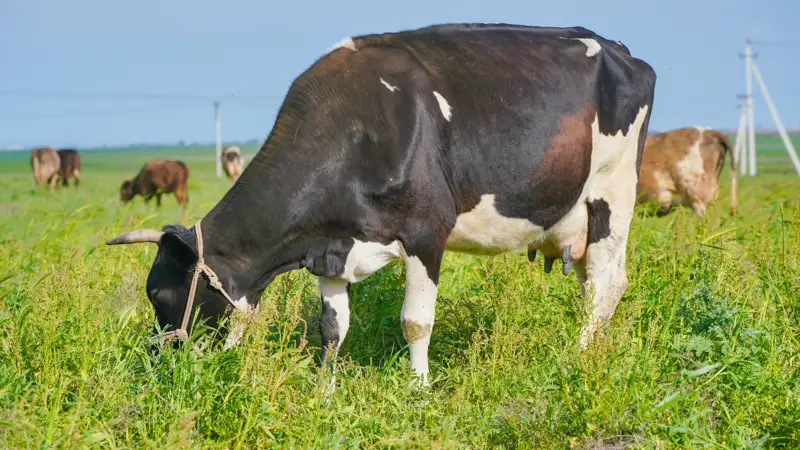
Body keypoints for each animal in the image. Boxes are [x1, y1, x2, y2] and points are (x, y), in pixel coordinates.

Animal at [106, 23, 656, 388]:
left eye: (160, 293)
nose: (157, 363)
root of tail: (621, 50)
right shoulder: (329, 244)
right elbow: (332, 327)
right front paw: (325, 389)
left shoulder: (426, 232)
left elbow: (416, 320)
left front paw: (417, 389)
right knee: (595, 286)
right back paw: (596, 347)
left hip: (613, 196)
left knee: (604, 286)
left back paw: (579, 357)